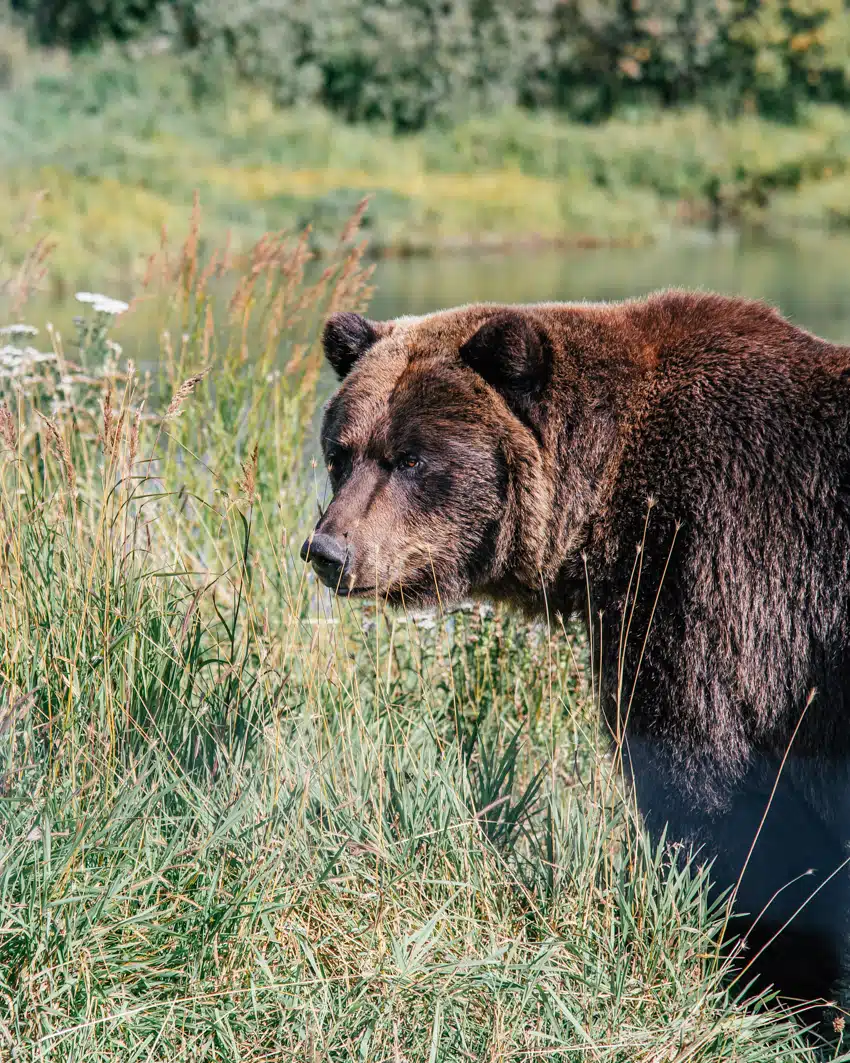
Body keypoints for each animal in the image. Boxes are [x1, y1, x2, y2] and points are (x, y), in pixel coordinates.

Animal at [301, 295, 850, 1007]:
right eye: (341, 453)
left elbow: (722, 792)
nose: (329, 550)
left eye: (412, 459)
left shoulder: (717, 582)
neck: (611, 507)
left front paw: (768, 981)